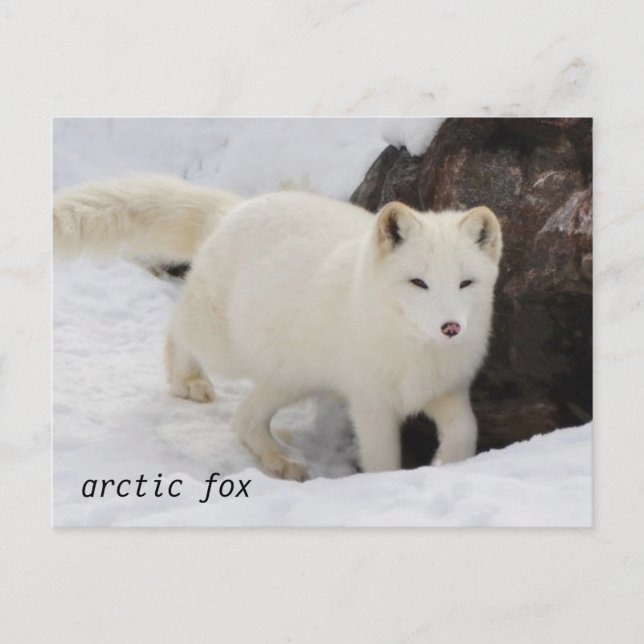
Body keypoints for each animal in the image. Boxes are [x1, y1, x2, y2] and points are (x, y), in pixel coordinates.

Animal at [54, 175, 503, 481]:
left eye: (465, 283)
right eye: (418, 283)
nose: (451, 327)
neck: (416, 351)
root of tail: (233, 212)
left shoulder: (447, 389)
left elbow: (465, 432)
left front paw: (450, 466)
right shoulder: (370, 401)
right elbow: (382, 460)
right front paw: (383, 485)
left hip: (291, 376)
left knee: (245, 418)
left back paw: (280, 461)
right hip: (227, 348)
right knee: (177, 328)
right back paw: (187, 380)